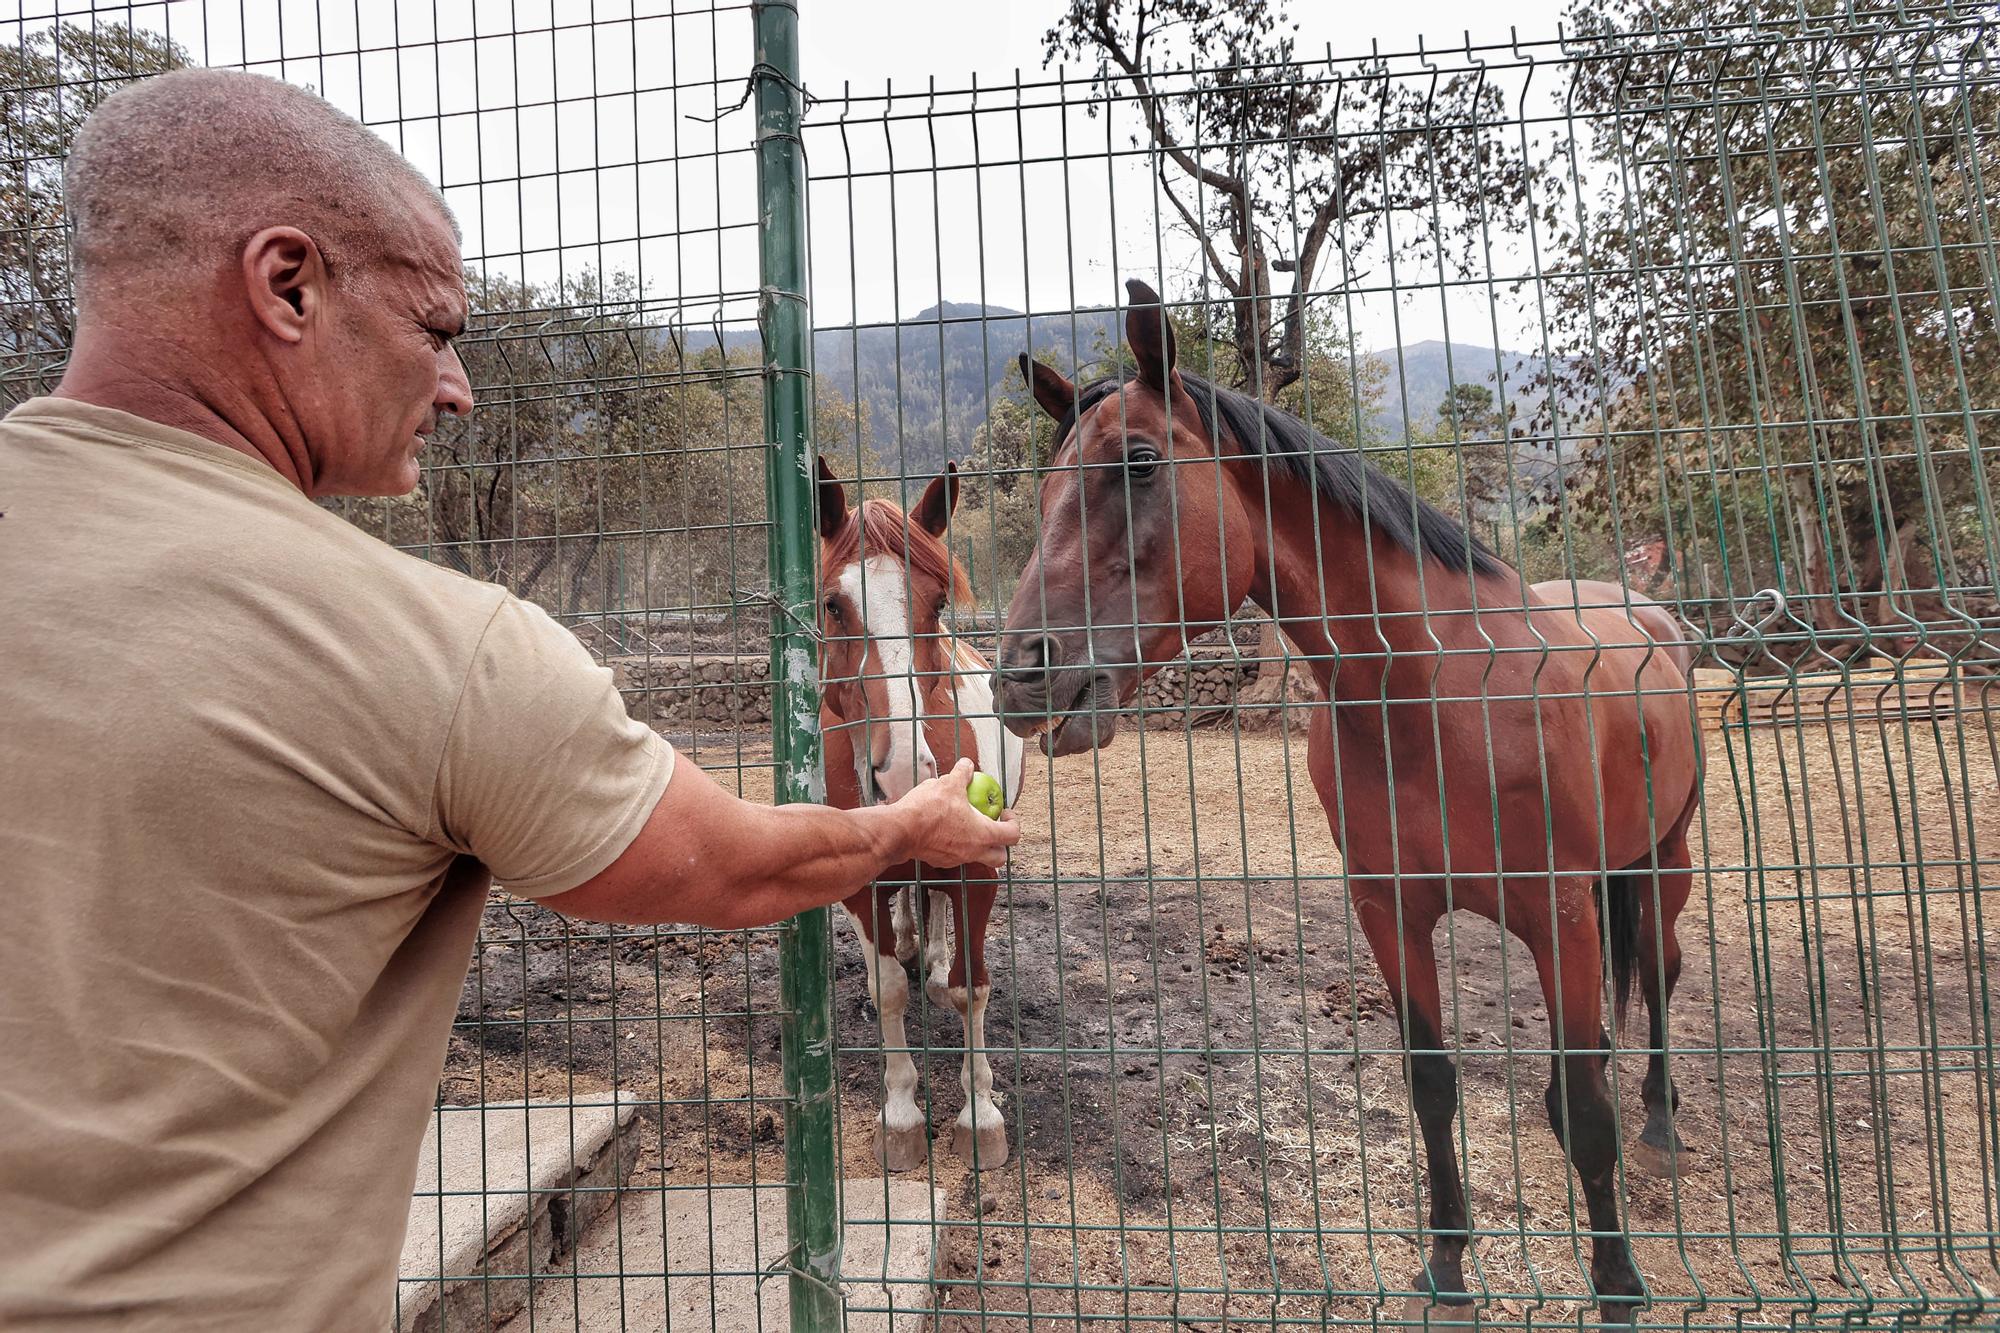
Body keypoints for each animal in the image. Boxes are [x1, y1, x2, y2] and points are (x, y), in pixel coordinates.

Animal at [816, 454, 1024, 1160]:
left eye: (936, 603)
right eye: (833, 605)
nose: (904, 777)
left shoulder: (980, 871)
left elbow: (970, 987)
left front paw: (980, 1115)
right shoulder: (859, 886)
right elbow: (887, 990)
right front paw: (902, 1114)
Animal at [992, 280, 1696, 1320]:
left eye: (1140, 462)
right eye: (1044, 489)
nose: (1019, 676)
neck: (1436, 695)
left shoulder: (1561, 911)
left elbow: (1583, 1112)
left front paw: (1615, 1286)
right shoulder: (1388, 911)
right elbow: (1433, 1083)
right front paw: (1446, 1264)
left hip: (1662, 863)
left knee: (1659, 969)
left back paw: (1659, 1119)